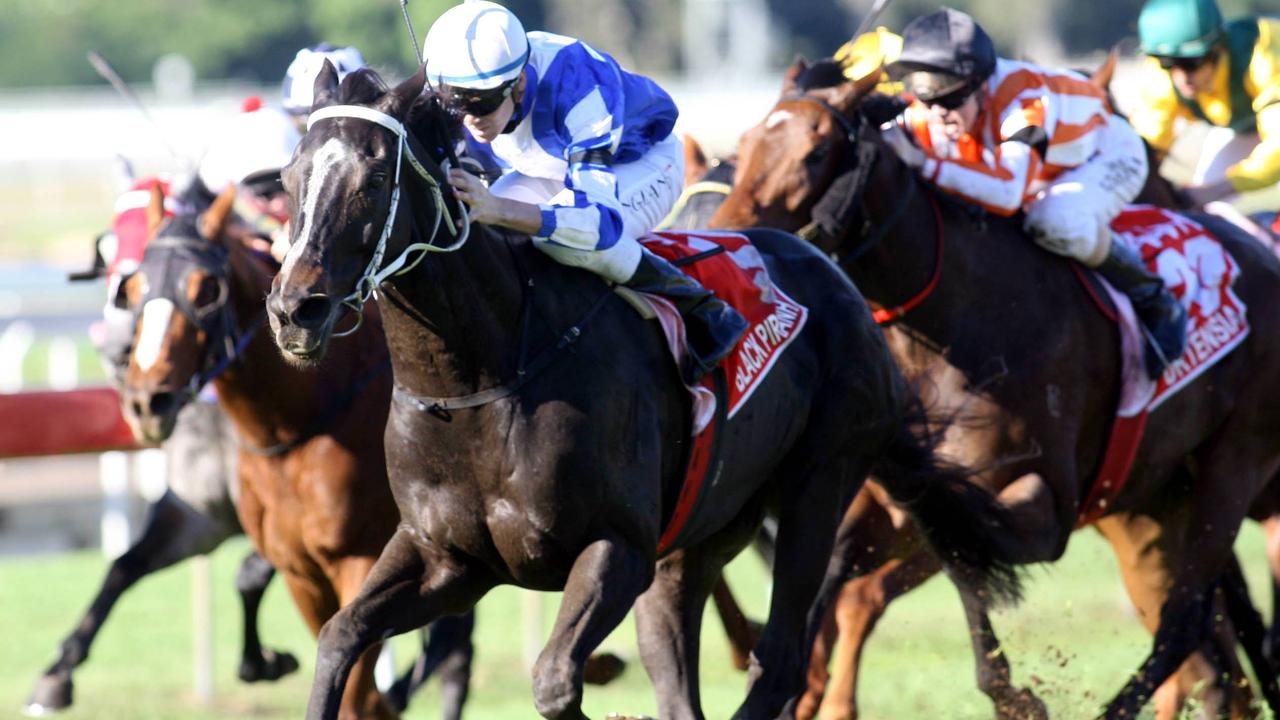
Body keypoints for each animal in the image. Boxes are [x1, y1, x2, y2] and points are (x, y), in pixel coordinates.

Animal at [116, 188, 471, 712]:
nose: (146, 400)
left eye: (206, 288)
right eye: (135, 286)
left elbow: (360, 694)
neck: (294, 427)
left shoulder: (361, 560)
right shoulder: (299, 570)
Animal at [264, 64, 1024, 712]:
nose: (295, 308)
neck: (480, 379)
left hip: (820, 486)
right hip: (702, 535)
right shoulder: (444, 559)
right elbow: (338, 639)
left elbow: (554, 680)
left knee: (780, 661)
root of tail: (840, 283)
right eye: (293, 173)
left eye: (372, 179)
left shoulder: (618, 548)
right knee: (677, 666)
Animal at [711, 60, 1280, 717]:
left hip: (1231, 468)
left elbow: (967, 551)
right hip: (1161, 498)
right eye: (746, 144)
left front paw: (1016, 696)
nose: (728, 238)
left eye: (816, 151)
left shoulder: (1041, 501)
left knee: (1184, 621)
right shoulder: (883, 504)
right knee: (1204, 639)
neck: (955, 317)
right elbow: (847, 567)